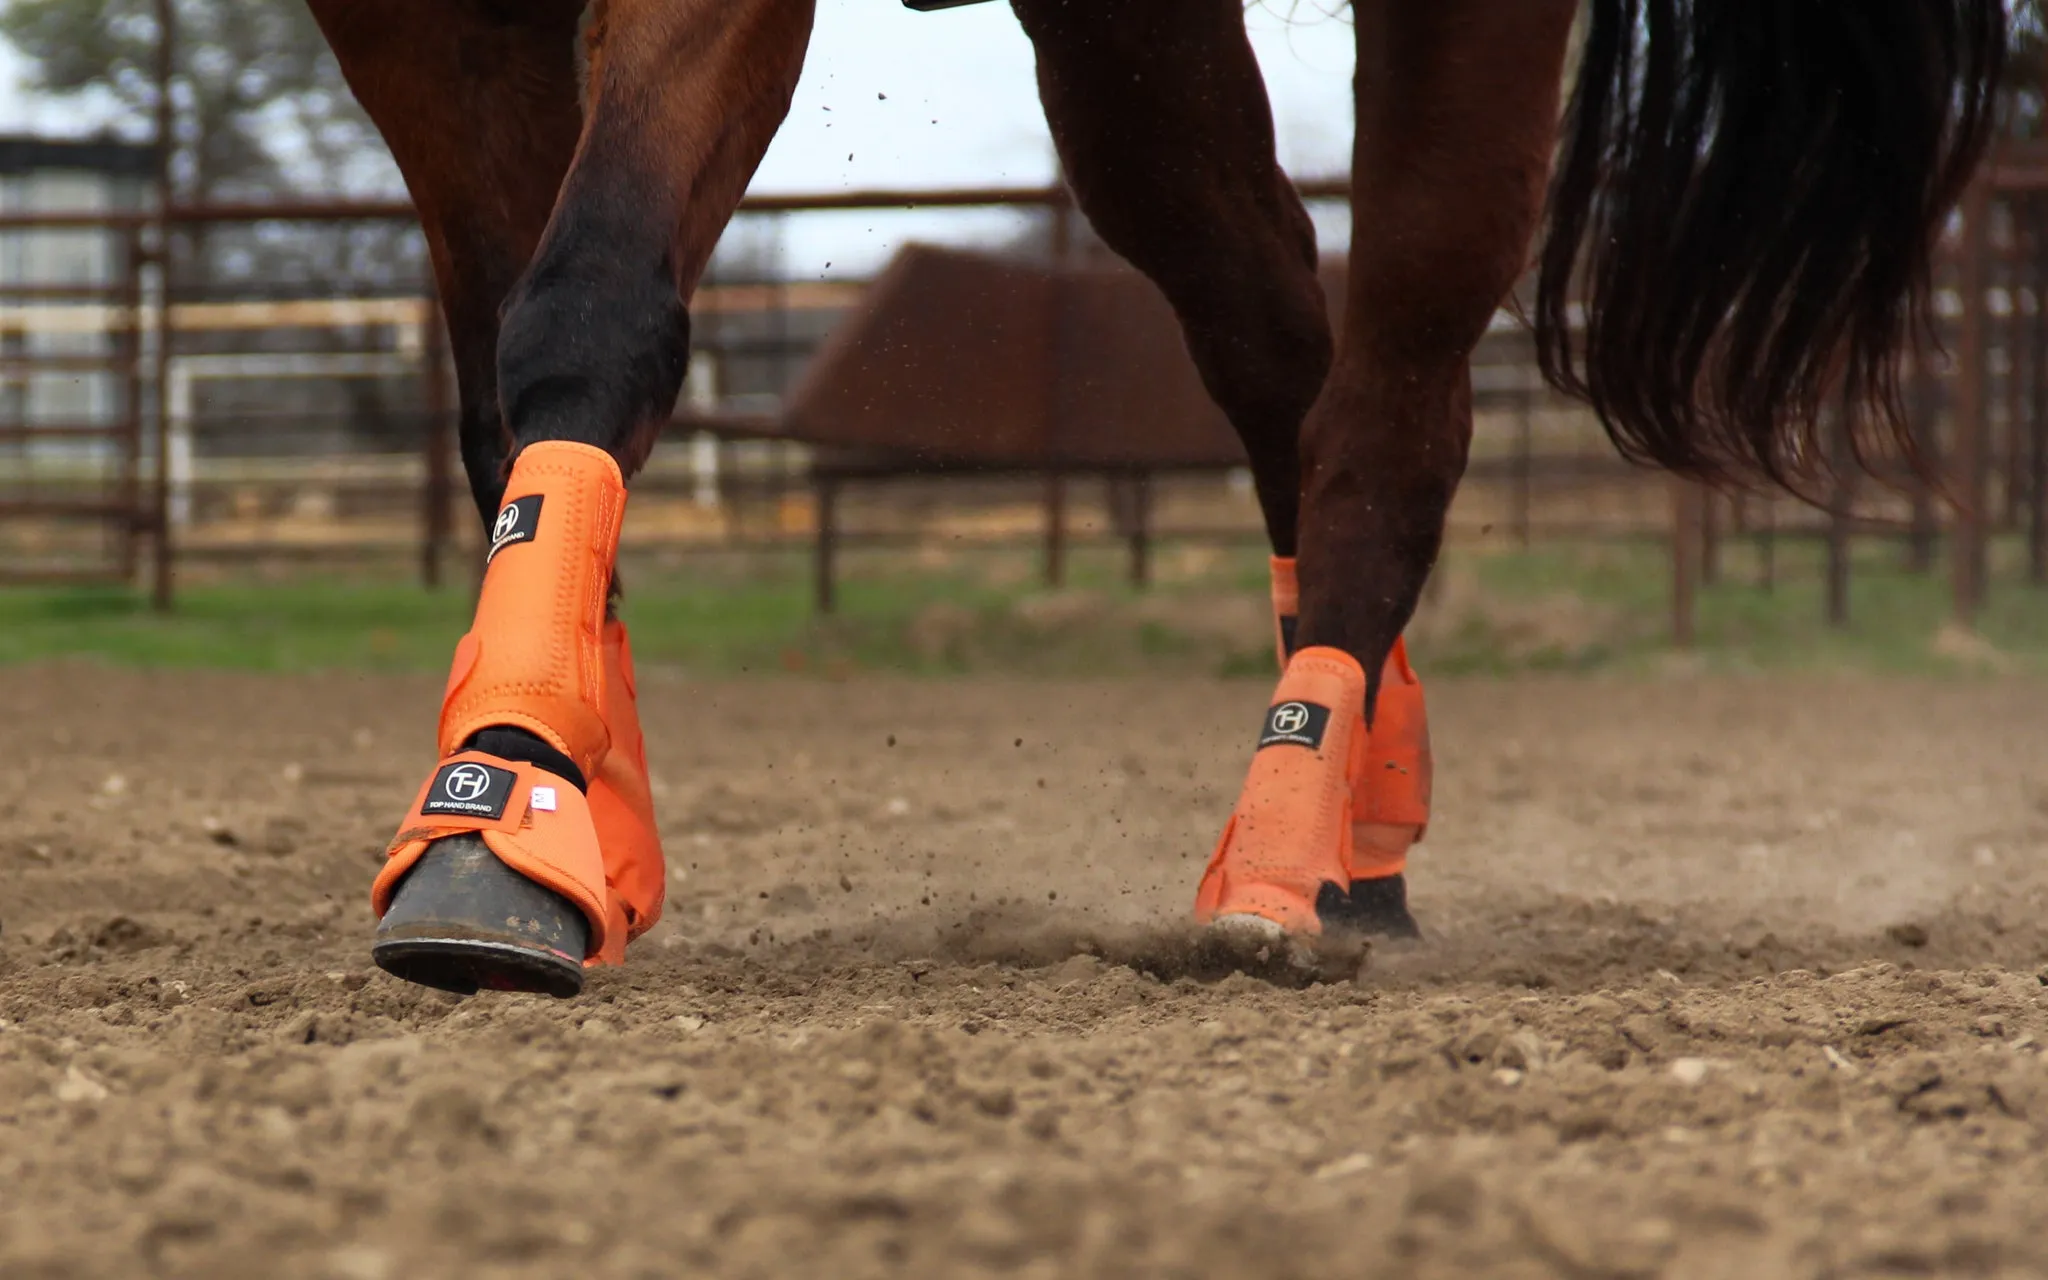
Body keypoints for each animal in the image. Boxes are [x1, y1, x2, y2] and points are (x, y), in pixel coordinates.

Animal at [299, 0, 1998, 999]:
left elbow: (589, 300)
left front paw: (506, 799)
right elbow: (510, 380)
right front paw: (551, 805)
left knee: (1385, 415)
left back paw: (1280, 856)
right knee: (1276, 352)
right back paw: (1360, 842)